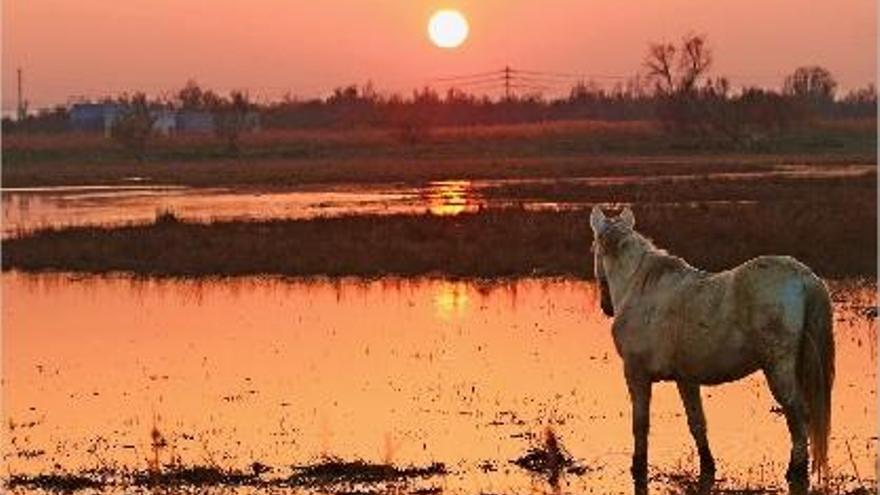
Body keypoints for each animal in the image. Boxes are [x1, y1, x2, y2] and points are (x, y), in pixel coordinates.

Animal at [592, 206, 832, 492]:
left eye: (593, 248)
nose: (606, 307)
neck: (640, 287)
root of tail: (804, 277)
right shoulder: (685, 379)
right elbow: (697, 424)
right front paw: (708, 465)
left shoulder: (636, 374)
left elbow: (640, 424)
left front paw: (637, 468)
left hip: (778, 370)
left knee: (798, 416)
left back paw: (795, 470)